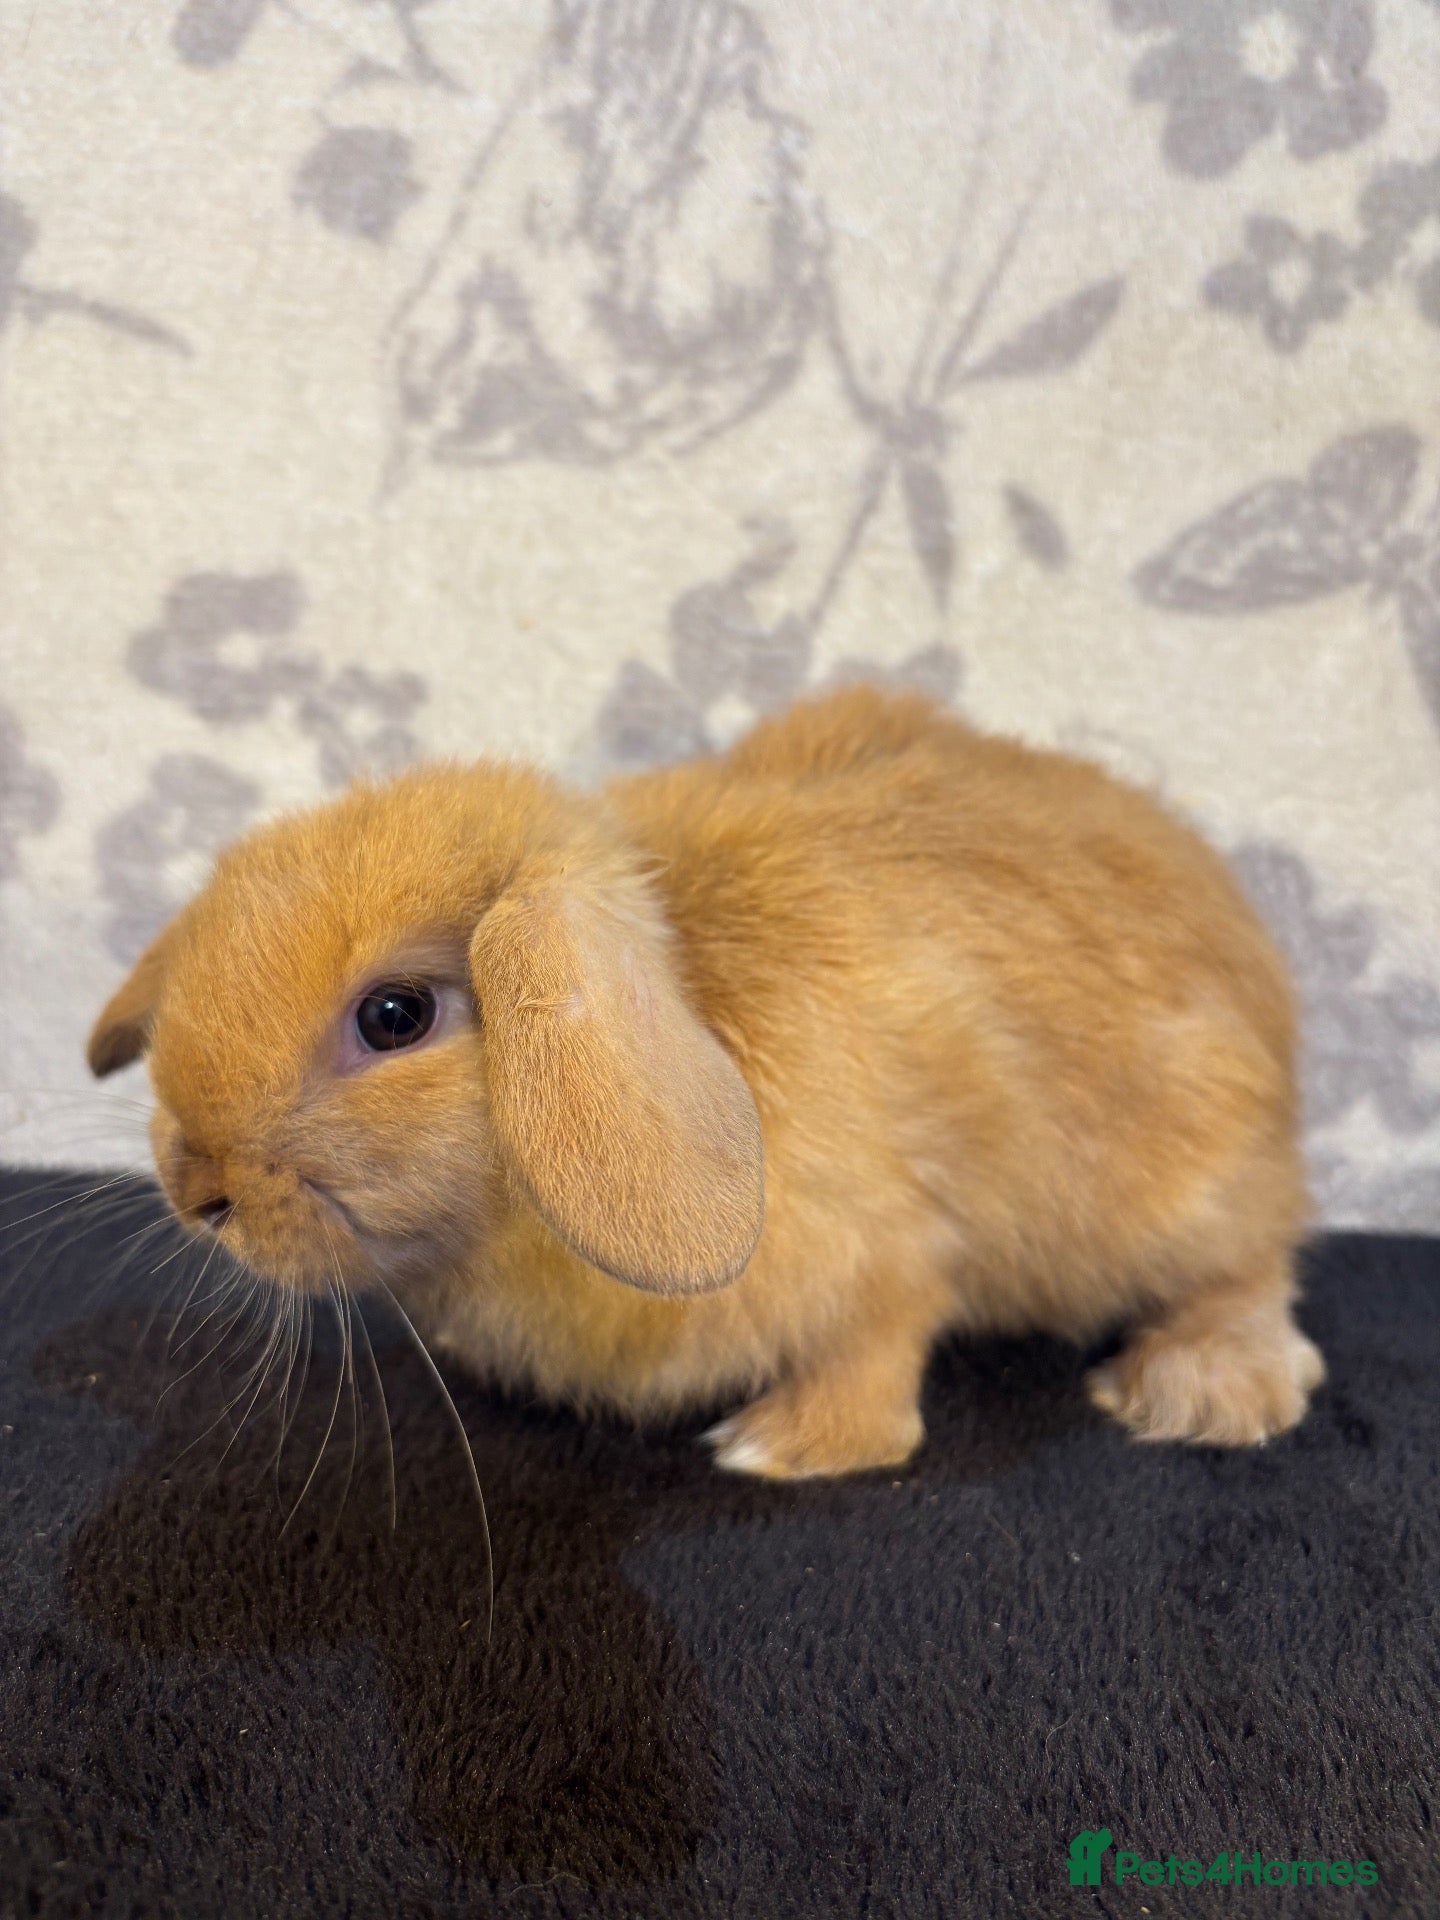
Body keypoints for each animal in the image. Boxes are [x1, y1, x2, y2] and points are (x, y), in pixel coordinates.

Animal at [88, 685, 1324, 1479]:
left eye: (395, 1018)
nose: (198, 1190)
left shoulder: (891, 1246)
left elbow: (883, 1340)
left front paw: (782, 1448)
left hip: (1198, 1188)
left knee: (1252, 1268)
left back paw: (1199, 1391)